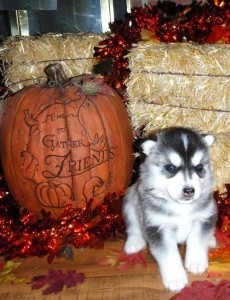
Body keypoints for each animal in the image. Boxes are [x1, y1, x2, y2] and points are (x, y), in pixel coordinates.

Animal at [123, 127, 217, 292]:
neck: (181, 206)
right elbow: (169, 254)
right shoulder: (158, 226)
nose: (189, 190)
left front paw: (196, 262)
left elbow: (197, 239)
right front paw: (175, 278)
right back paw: (134, 243)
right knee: (133, 227)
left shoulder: (204, 216)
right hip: (130, 202)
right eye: (171, 167)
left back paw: (211, 239)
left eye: (199, 168)